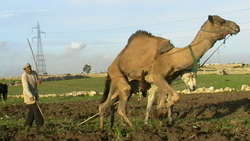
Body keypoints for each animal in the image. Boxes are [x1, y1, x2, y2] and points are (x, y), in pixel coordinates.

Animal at [98, 14, 240, 128]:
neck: (172, 57)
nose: (237, 26)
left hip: (118, 81)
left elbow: (167, 99)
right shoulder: (157, 76)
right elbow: (174, 97)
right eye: (221, 21)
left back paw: (103, 129)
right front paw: (160, 113)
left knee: (105, 105)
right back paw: (133, 128)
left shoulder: (167, 80)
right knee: (121, 105)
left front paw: (164, 117)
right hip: (117, 72)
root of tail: (111, 66)